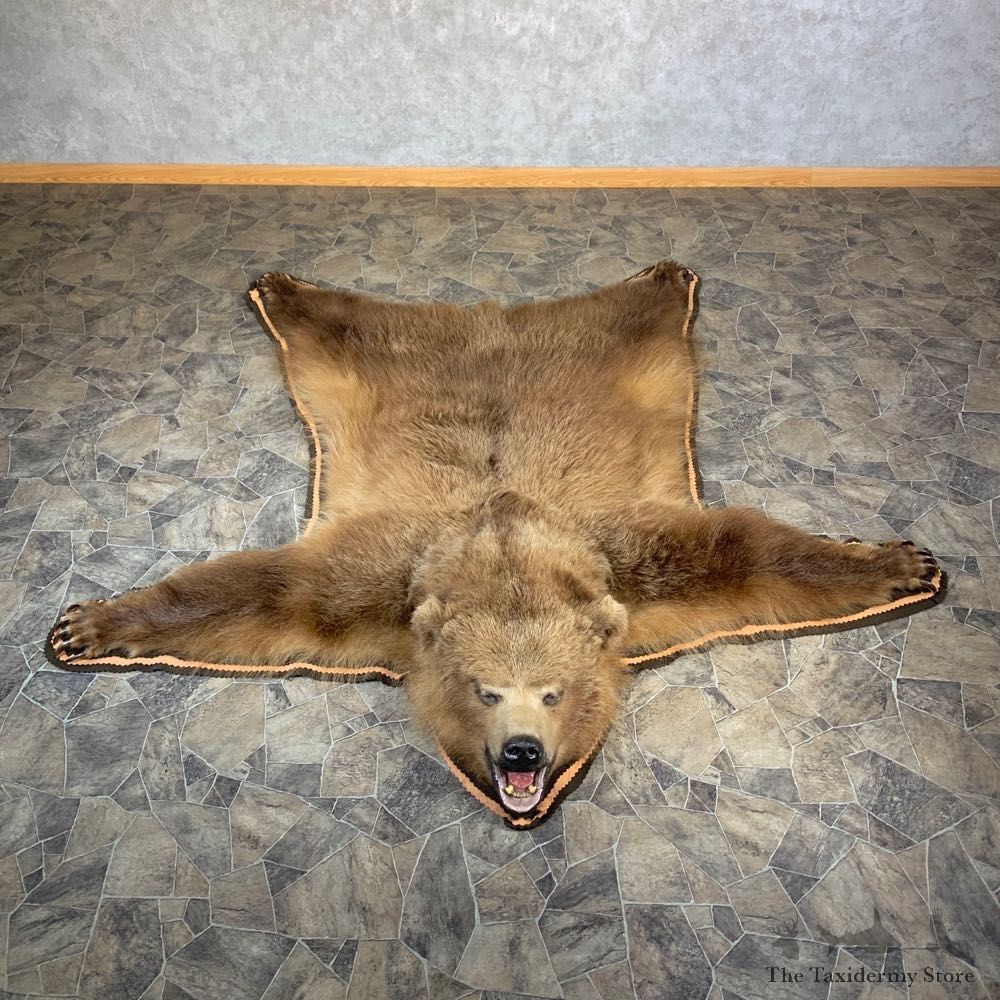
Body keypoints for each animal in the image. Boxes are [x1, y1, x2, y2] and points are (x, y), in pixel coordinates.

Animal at [51, 261, 940, 821]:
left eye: (554, 691)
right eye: (483, 690)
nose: (521, 756)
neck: (504, 540)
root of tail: (490, 324)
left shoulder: (631, 559)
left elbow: (742, 549)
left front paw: (905, 564)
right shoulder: (374, 584)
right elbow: (261, 591)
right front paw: (87, 624)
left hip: (623, 353)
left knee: (643, 319)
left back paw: (661, 277)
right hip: (375, 361)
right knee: (337, 327)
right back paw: (282, 287)